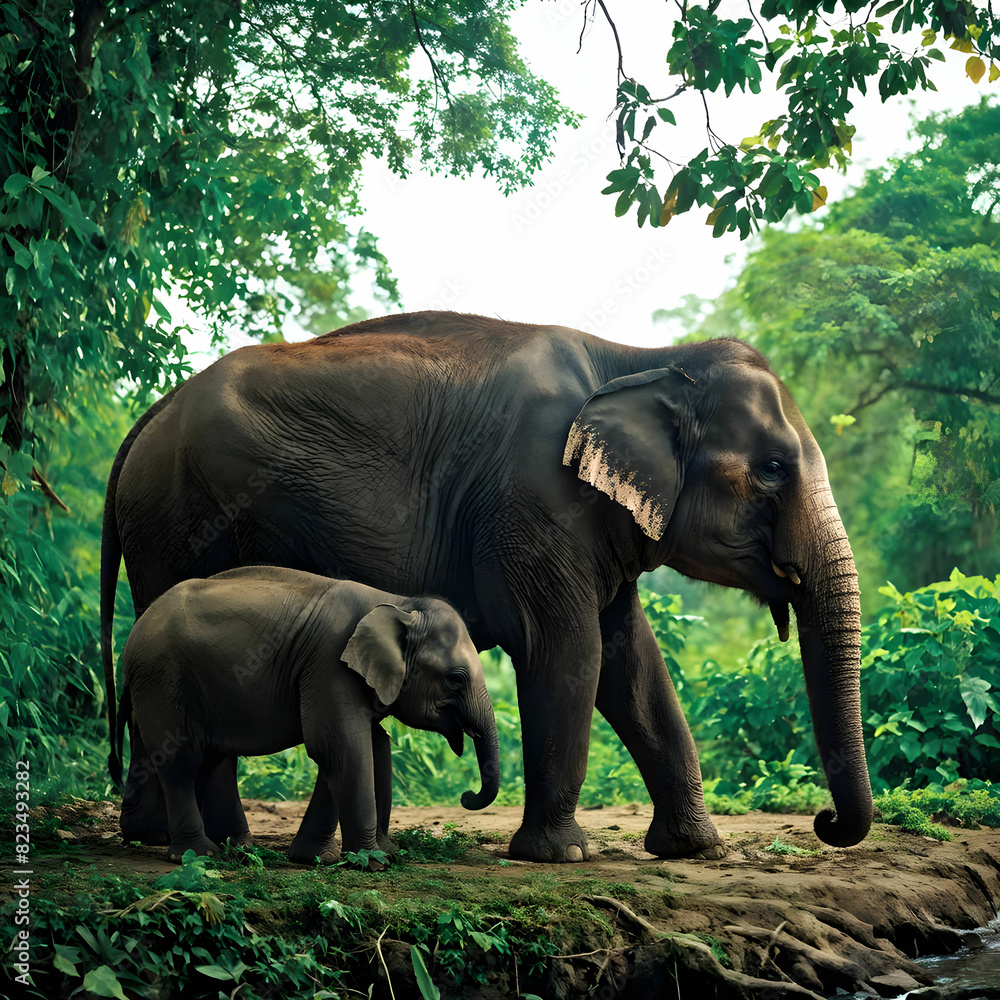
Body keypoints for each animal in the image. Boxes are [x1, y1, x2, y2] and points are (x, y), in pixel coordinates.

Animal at [110, 566, 500, 863]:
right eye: (454, 679)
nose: (466, 796)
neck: (399, 603)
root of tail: (133, 632)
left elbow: (368, 745)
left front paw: (321, 858)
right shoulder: (329, 664)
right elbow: (340, 746)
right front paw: (373, 862)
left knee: (213, 758)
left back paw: (237, 850)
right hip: (163, 678)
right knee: (181, 761)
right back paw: (198, 855)